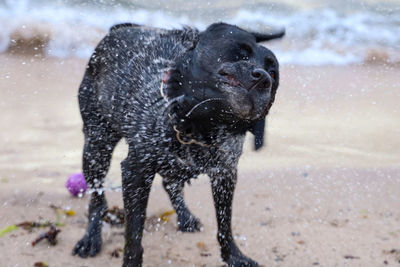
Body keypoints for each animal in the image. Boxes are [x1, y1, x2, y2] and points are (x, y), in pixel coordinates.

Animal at [72, 22, 284, 266]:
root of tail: (120, 28)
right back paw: (91, 238)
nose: (263, 78)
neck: (200, 129)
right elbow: (134, 235)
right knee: (97, 197)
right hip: (96, 147)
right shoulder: (136, 173)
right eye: (240, 54)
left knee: (170, 183)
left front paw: (233, 256)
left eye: (273, 73)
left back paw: (185, 217)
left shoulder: (225, 174)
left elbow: (224, 224)